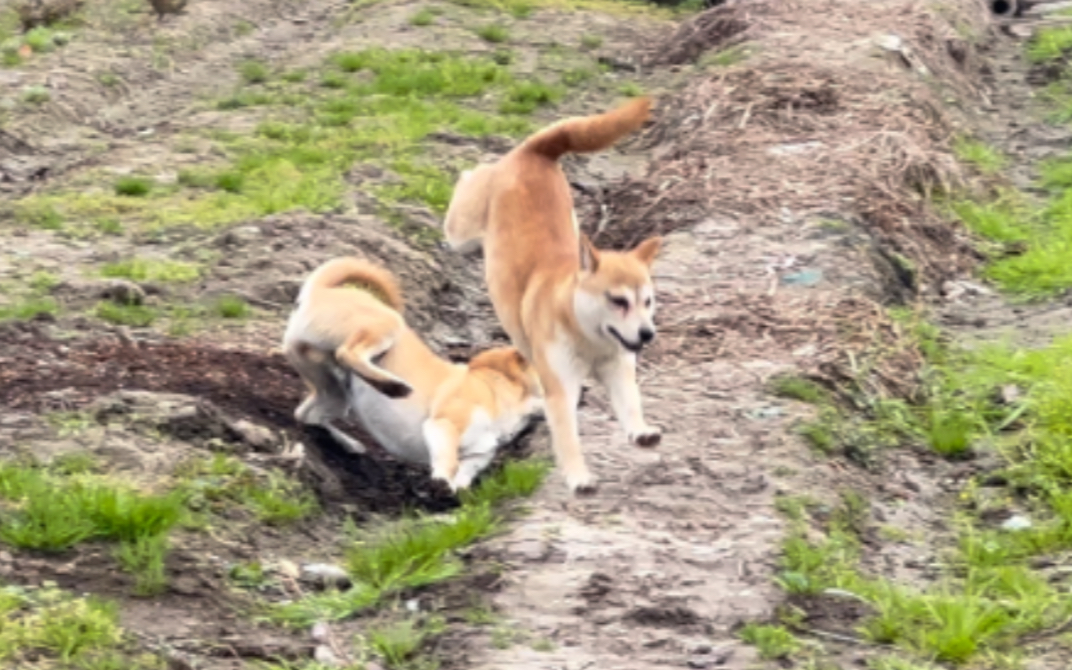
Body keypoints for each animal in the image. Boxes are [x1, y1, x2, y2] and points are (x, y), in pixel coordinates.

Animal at [283, 256, 544, 490]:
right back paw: (392, 386)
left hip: (334, 392)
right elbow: (448, 462)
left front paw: (454, 492)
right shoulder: (444, 426)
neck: (497, 388)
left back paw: (348, 442)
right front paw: (441, 484)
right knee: (347, 354)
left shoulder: (477, 455)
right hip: (387, 325)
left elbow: (465, 473)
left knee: (307, 416)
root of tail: (322, 289)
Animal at [441, 96, 660, 490]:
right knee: (468, 179)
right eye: (618, 300)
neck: (588, 337)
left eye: (647, 301)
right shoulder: (560, 390)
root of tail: (535, 150)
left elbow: (630, 404)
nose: (648, 334)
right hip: (461, 232)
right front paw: (578, 477)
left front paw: (640, 431)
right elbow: (568, 437)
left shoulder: (619, 368)